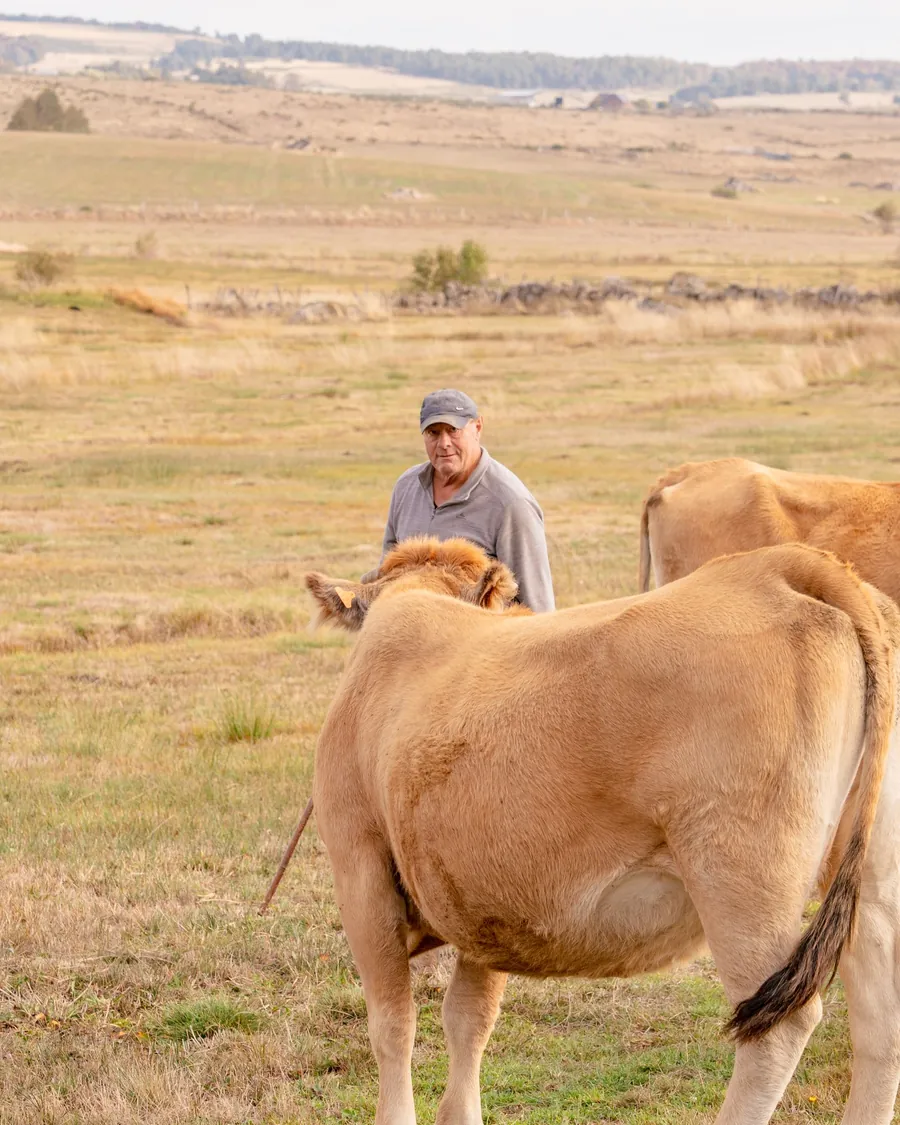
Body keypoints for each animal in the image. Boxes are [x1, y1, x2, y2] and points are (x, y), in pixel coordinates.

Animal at [305, 535, 900, 1125]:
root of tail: (779, 567)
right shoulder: (478, 900)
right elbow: (469, 1020)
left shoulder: (360, 872)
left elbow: (393, 1024)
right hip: (867, 876)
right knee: (881, 1019)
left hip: (742, 877)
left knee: (780, 1028)